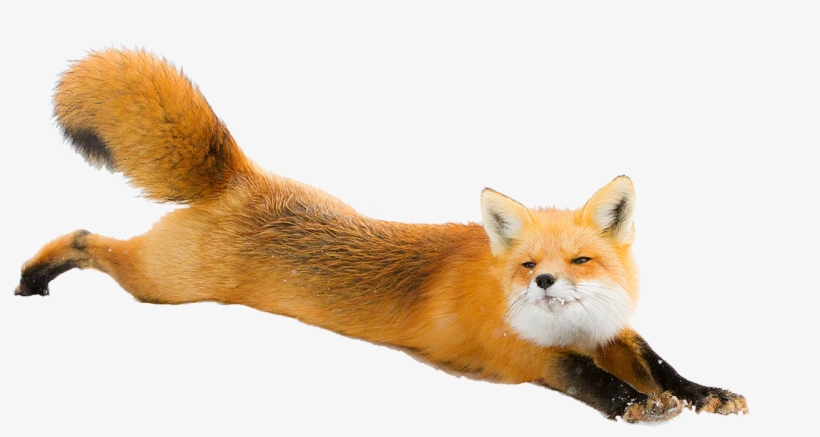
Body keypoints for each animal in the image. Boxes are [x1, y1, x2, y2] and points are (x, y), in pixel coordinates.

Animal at [15, 48, 747, 423]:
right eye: (527, 263)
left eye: (581, 259)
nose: (543, 281)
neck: (566, 325)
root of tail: (240, 177)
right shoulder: (521, 354)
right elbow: (582, 375)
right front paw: (633, 403)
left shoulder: (610, 332)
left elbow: (661, 362)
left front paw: (702, 393)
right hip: (163, 284)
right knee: (85, 236)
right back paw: (34, 274)